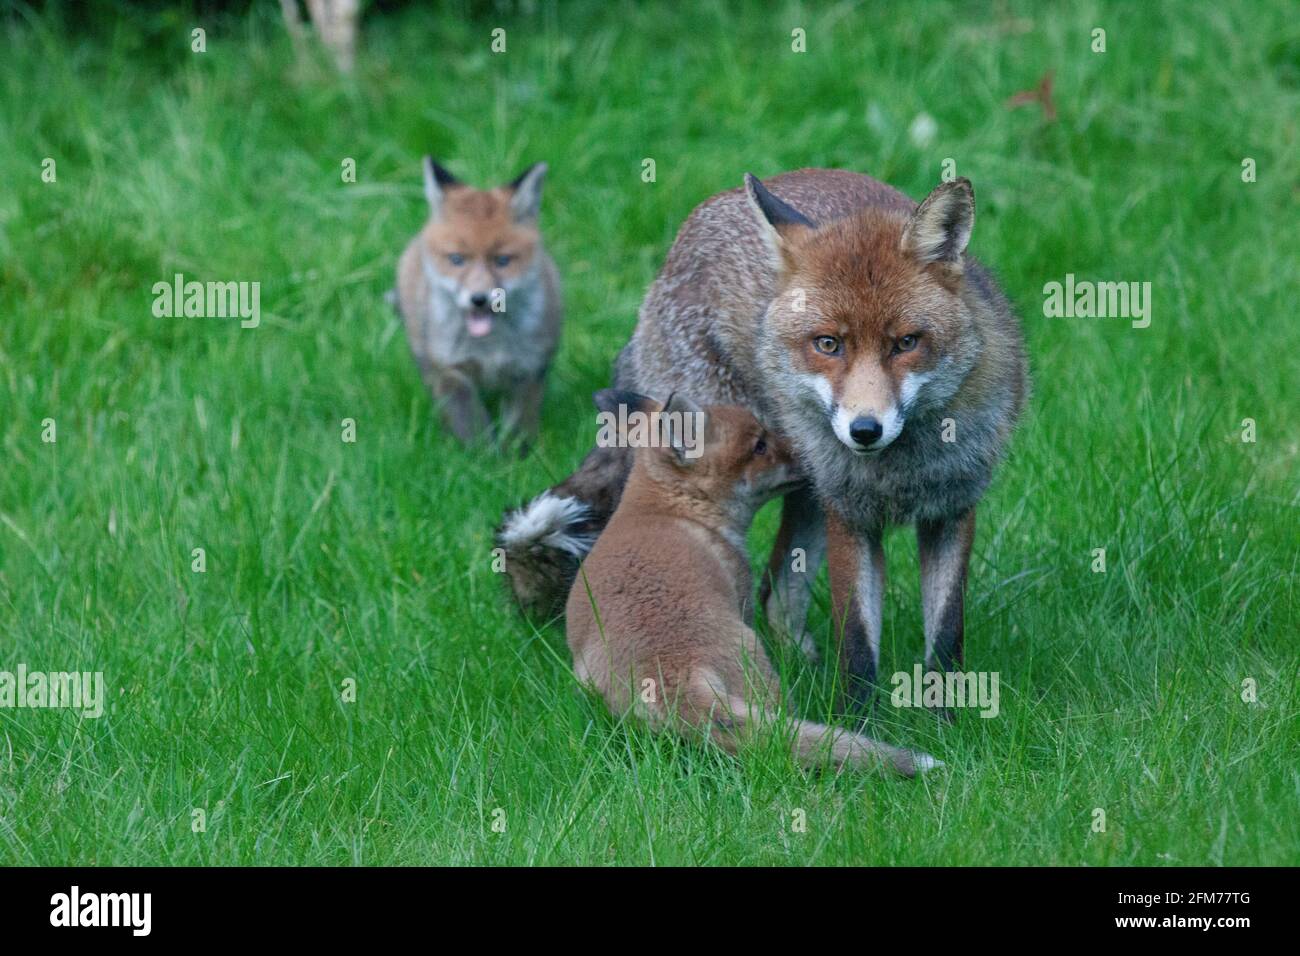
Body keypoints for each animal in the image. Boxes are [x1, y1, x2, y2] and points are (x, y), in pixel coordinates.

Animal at [394, 158, 562, 447]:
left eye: (502, 260)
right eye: (457, 259)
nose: (479, 299)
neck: (488, 349)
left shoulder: (529, 369)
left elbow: (518, 428)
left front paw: (518, 455)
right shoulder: (451, 371)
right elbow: (471, 427)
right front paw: (479, 456)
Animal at [500, 168, 1027, 715]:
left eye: (906, 343)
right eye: (828, 344)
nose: (865, 430)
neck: (901, 468)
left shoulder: (952, 511)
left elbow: (945, 640)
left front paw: (945, 720)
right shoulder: (849, 516)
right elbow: (859, 644)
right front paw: (860, 722)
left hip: (806, 491)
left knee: (777, 590)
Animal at [566, 389, 938, 776]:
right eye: (760, 444)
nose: (809, 453)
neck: (669, 508)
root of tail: (671, 674)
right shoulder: (742, 591)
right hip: (759, 662)